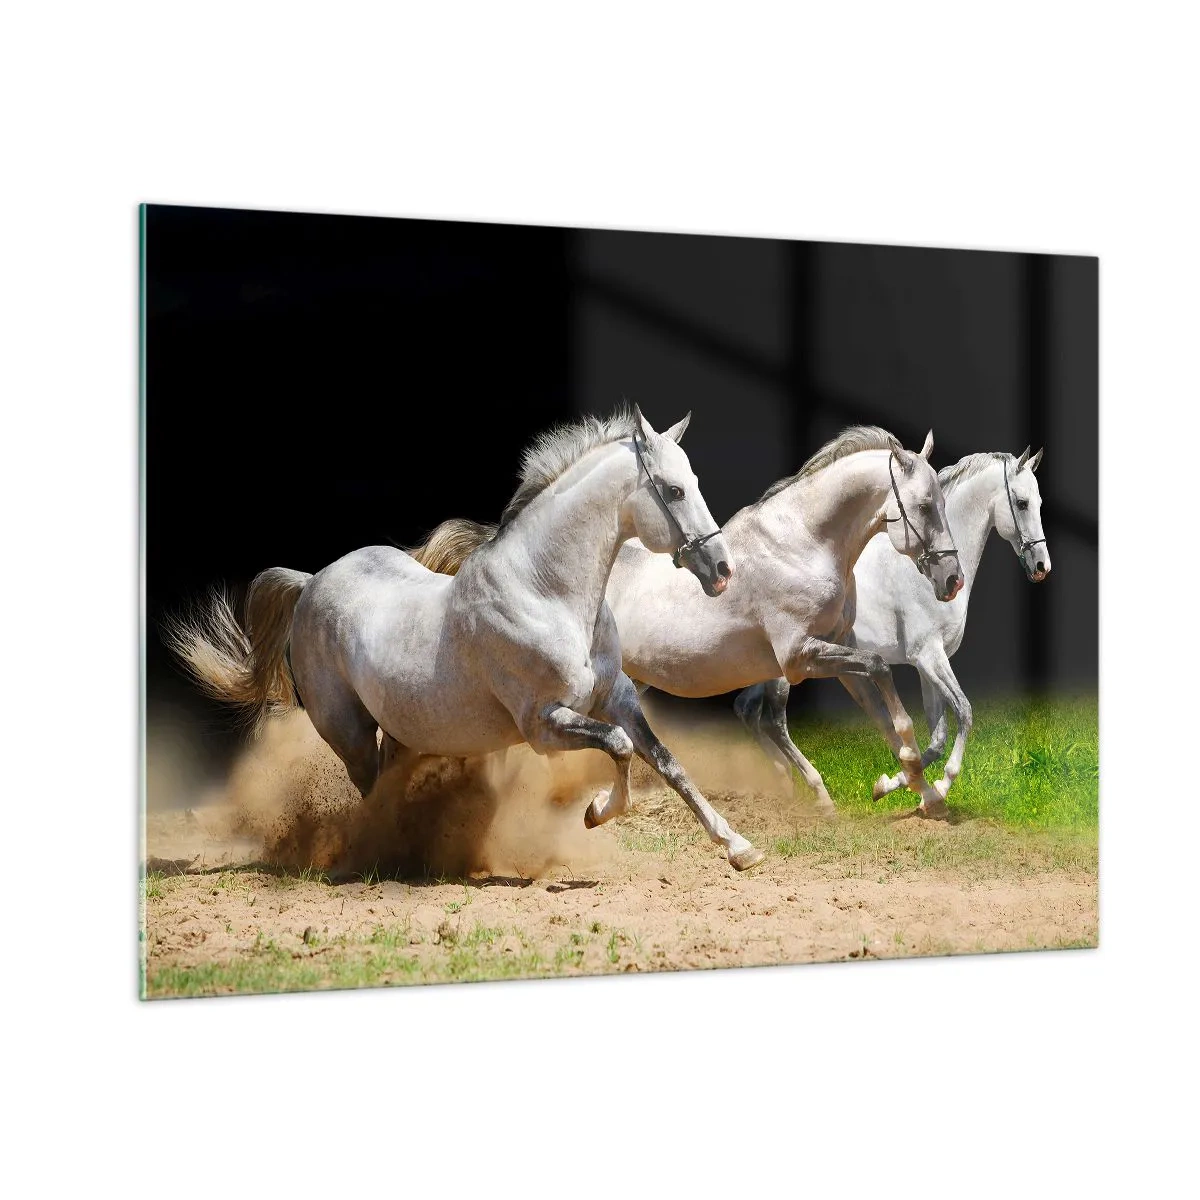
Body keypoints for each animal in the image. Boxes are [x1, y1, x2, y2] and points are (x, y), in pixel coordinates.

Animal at [165, 405, 768, 872]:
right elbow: (619, 748)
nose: (721, 570)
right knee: (370, 792)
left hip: (402, 732)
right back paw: (379, 857)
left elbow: (666, 761)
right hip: (349, 733)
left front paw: (739, 847)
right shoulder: (544, 724)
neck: (546, 592)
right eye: (674, 490)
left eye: (695, 483)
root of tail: (312, 582)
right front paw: (597, 811)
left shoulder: (616, 697)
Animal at [603, 426, 965, 817]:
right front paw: (912, 773)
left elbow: (883, 716)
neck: (802, 546)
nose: (953, 579)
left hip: (635, 680)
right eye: (925, 506)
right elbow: (881, 669)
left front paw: (923, 793)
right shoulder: (798, 658)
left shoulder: (841, 649)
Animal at [736, 446, 1048, 806]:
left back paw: (783, 780)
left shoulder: (928, 663)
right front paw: (939, 785)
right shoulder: (929, 656)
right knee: (774, 721)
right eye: (1022, 503)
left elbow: (937, 737)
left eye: (1039, 502)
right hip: (789, 670)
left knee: (746, 709)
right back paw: (814, 789)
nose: (1042, 566)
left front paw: (898, 786)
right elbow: (964, 712)